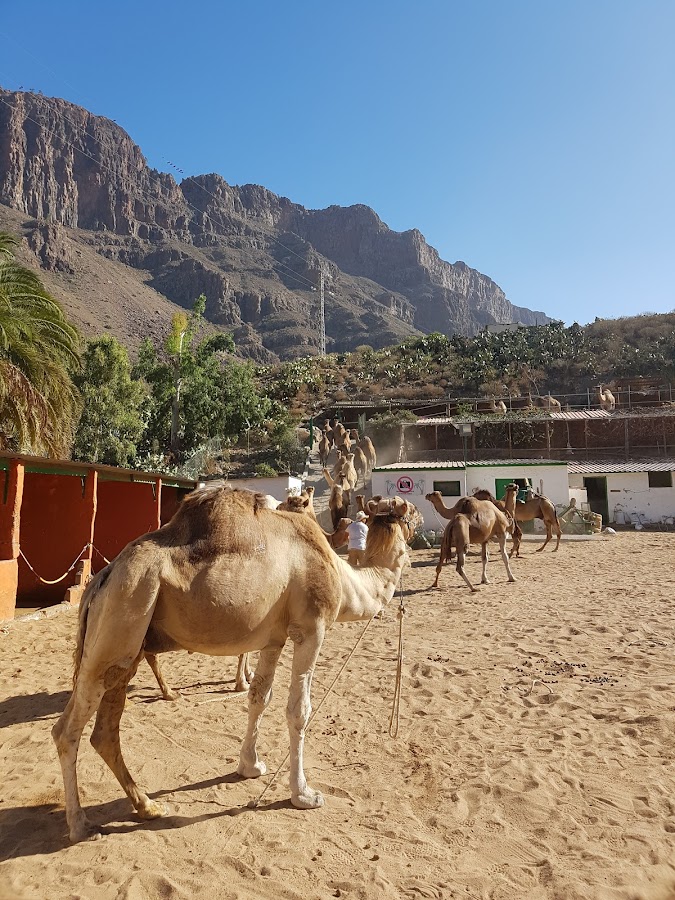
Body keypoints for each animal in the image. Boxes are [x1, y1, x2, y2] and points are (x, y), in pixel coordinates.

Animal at [51, 486, 418, 844]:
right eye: (410, 512)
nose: (420, 520)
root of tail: (101, 580)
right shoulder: (311, 628)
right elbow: (298, 710)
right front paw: (304, 794)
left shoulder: (274, 640)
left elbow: (259, 698)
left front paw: (250, 766)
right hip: (123, 613)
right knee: (66, 730)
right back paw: (80, 825)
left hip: (130, 645)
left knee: (105, 731)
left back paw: (147, 806)